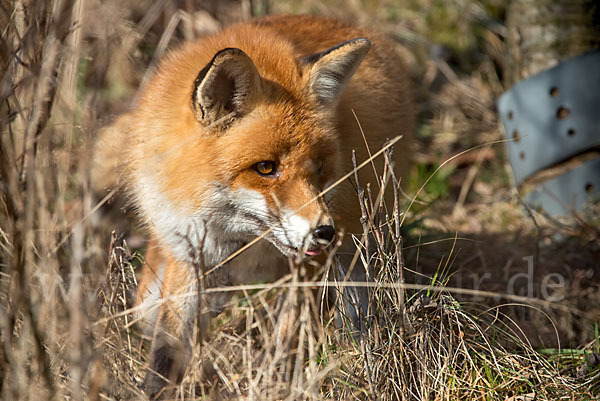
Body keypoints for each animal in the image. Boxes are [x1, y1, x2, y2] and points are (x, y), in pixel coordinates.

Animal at [95, 14, 412, 396]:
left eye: (319, 168)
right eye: (265, 168)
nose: (324, 231)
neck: (237, 242)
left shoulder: (306, 270)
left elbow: (287, 344)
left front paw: (277, 384)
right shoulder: (188, 255)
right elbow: (165, 356)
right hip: (150, 297)